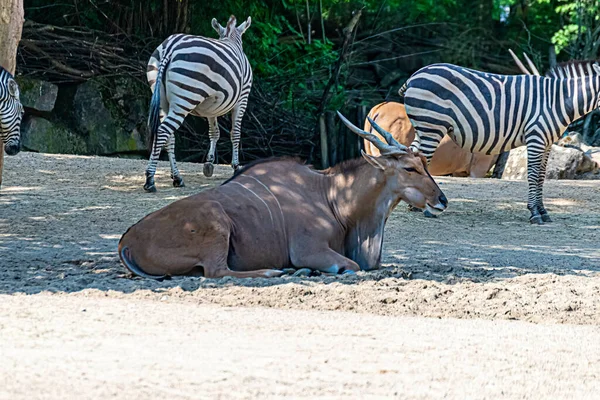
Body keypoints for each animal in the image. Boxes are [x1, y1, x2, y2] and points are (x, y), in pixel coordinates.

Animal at [145, 14, 253, 192]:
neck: (230, 38)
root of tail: (170, 47)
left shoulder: (212, 107)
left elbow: (214, 132)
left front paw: (209, 164)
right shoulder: (242, 98)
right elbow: (235, 133)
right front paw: (236, 166)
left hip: (162, 100)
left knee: (169, 137)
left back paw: (177, 177)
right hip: (184, 100)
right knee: (162, 132)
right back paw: (150, 180)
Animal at [398, 61, 600, 225]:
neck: (559, 100)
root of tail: (415, 75)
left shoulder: (547, 142)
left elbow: (541, 177)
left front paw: (543, 211)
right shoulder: (536, 137)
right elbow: (533, 175)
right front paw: (535, 213)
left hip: (423, 128)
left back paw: (413, 205)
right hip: (431, 125)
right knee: (423, 158)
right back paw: (426, 209)